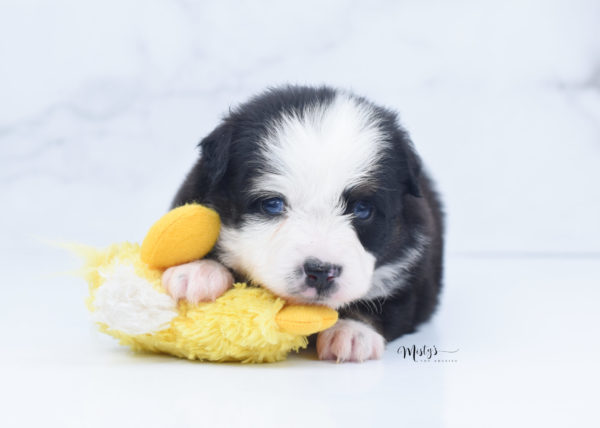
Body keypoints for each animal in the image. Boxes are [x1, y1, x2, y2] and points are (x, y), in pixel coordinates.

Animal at [164, 85, 446, 362]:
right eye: (273, 204)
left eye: (362, 209)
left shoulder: (414, 274)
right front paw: (197, 272)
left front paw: (352, 332)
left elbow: (384, 303)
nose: (321, 272)